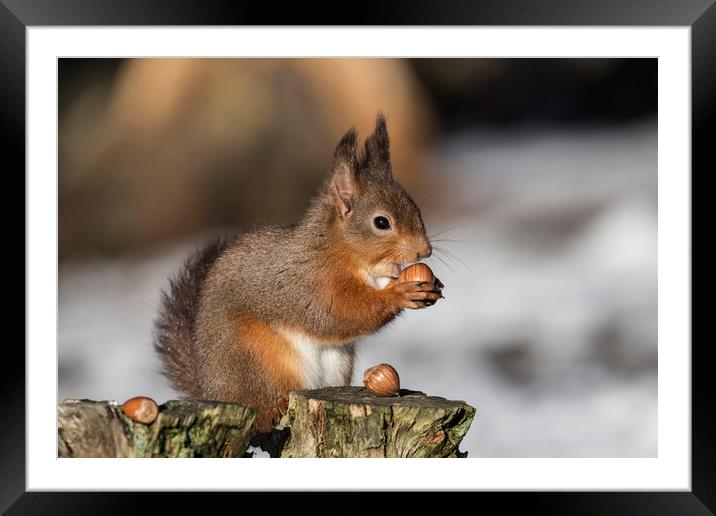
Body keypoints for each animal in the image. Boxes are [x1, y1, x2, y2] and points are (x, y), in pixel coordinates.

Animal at [153, 115, 442, 434]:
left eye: (415, 208)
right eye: (381, 222)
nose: (425, 250)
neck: (339, 251)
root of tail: (212, 393)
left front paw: (430, 287)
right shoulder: (309, 284)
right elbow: (338, 314)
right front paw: (401, 293)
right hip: (260, 360)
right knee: (262, 416)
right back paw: (275, 408)